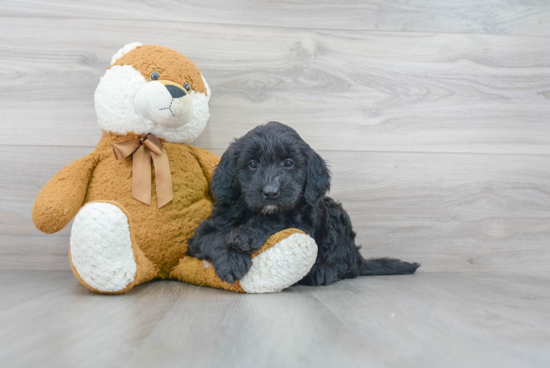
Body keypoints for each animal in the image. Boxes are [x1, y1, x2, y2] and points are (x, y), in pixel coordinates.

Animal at [188, 122, 420, 286]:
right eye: (252, 164)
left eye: (288, 163)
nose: (270, 193)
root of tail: (360, 258)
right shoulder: (203, 232)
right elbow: (214, 238)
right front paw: (231, 262)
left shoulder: (302, 222)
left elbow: (275, 223)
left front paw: (246, 234)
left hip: (336, 216)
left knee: (347, 264)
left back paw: (323, 271)